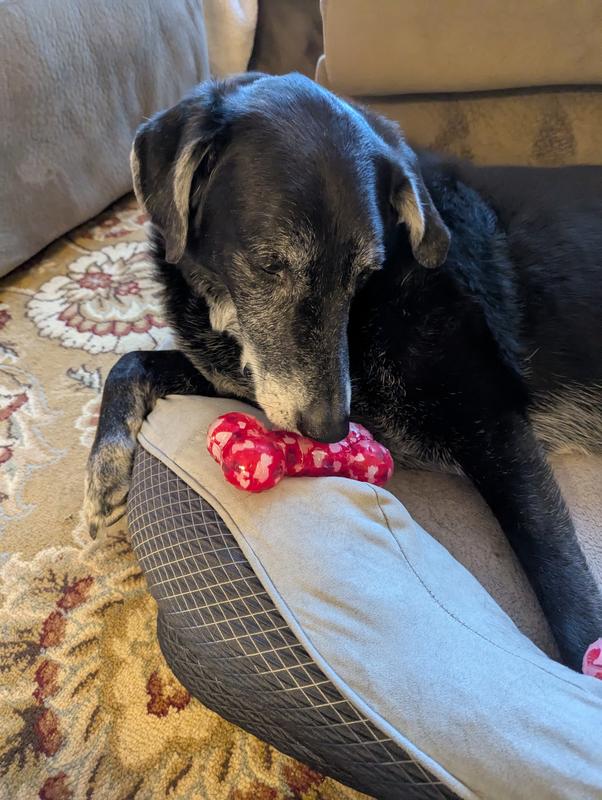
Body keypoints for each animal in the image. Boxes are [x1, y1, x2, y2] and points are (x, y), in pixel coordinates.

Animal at [85, 72, 602, 671]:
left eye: (364, 273)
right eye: (269, 265)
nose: (332, 431)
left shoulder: (494, 424)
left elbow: (563, 581)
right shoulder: (244, 377)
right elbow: (128, 361)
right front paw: (104, 475)